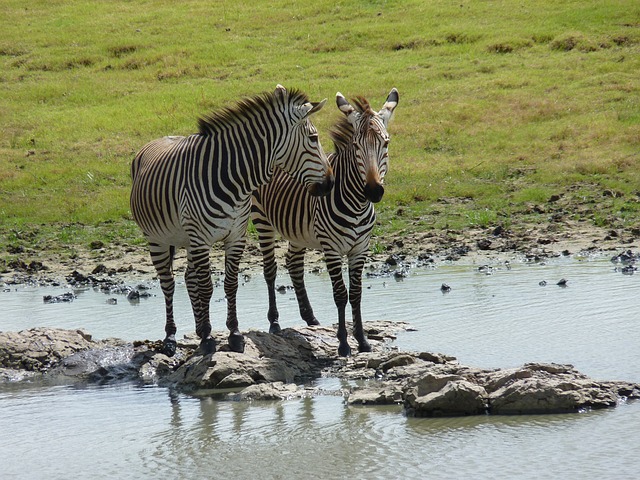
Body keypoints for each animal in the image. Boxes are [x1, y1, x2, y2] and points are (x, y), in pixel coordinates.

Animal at [132, 86, 338, 356]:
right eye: (313, 138)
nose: (331, 183)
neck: (233, 179)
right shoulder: (201, 239)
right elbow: (207, 287)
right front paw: (209, 339)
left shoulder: (236, 236)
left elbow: (230, 284)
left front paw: (233, 334)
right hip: (157, 239)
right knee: (168, 284)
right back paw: (170, 337)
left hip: (186, 238)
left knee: (188, 278)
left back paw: (198, 328)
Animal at [251, 88, 398, 356]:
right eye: (357, 146)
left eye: (386, 143)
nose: (373, 191)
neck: (357, 203)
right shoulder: (331, 248)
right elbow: (340, 294)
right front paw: (343, 344)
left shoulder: (360, 248)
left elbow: (356, 294)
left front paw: (362, 341)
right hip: (261, 219)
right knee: (270, 269)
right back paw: (274, 322)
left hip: (298, 229)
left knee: (293, 263)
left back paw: (310, 318)